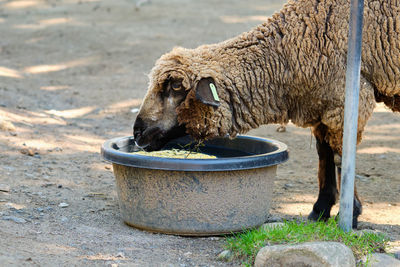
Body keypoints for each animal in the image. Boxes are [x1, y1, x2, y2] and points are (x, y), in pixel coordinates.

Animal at [133, 0, 398, 229]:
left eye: (176, 86)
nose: (137, 132)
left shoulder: (345, 100)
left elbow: (341, 155)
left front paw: (350, 214)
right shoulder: (323, 103)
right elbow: (324, 154)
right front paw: (320, 210)